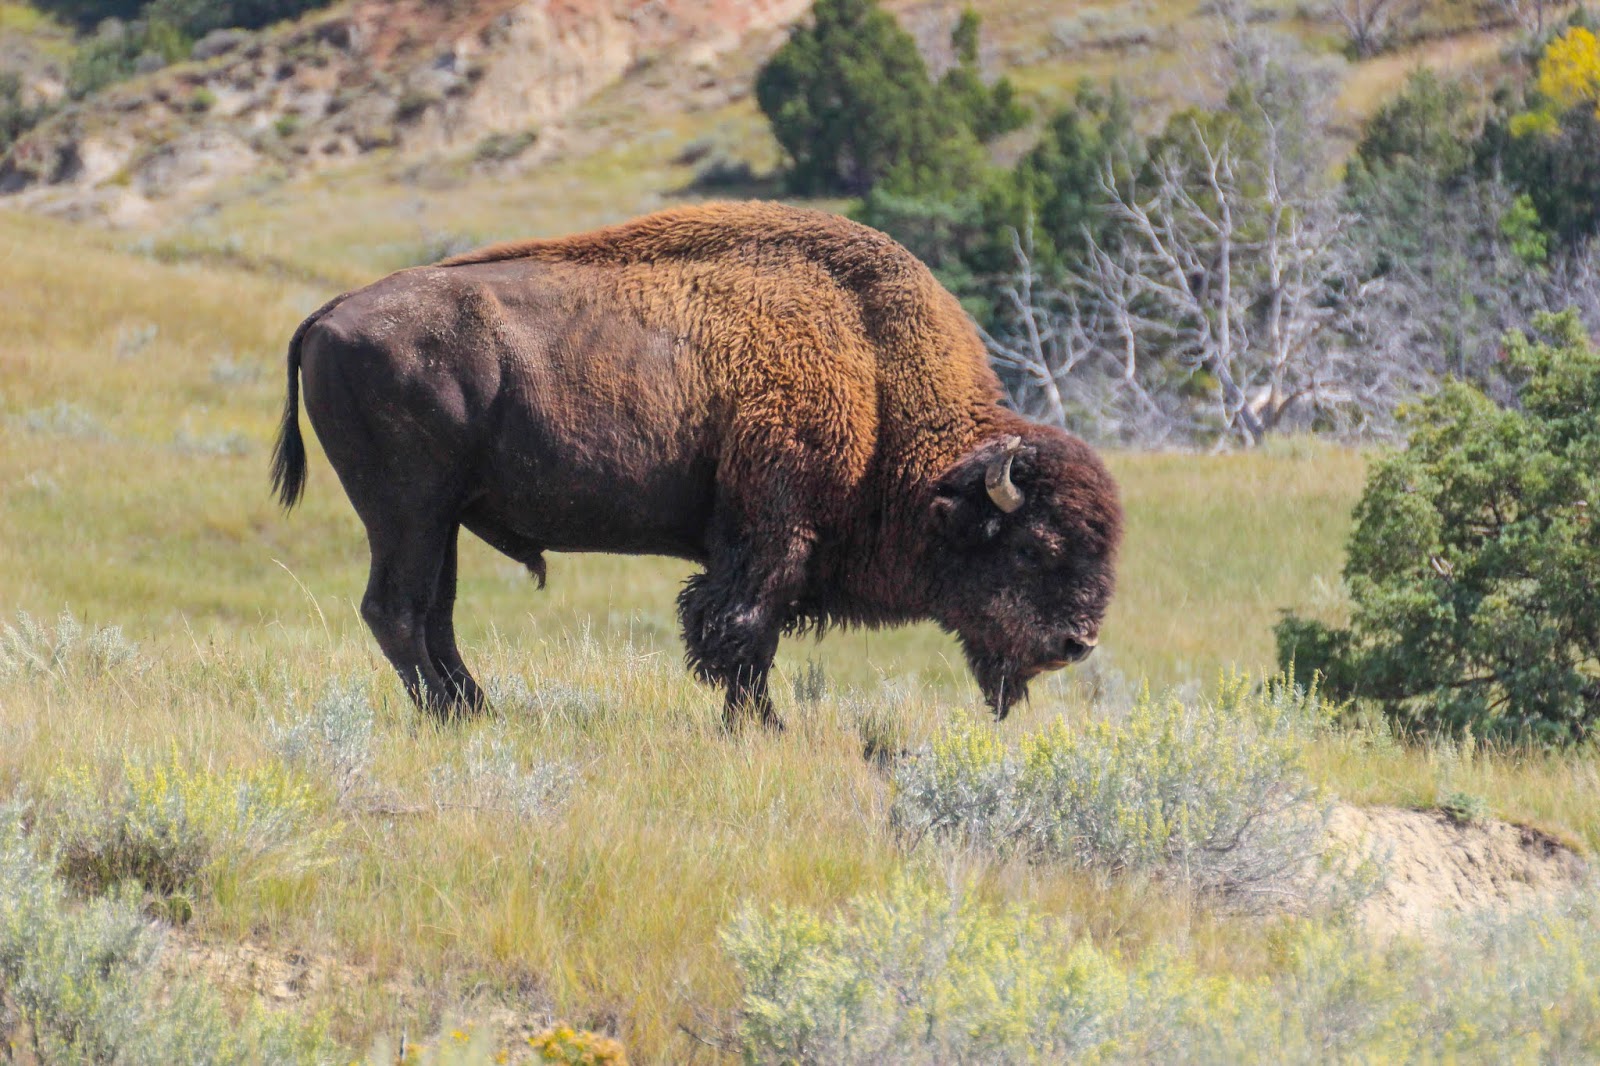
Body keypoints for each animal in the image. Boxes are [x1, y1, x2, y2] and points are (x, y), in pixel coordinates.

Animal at [271, 202, 1121, 726]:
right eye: (1036, 547)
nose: (1077, 643)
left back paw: (479, 710)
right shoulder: (771, 537)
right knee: (397, 610)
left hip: (438, 519)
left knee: (432, 615)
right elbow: (741, 636)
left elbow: (744, 639)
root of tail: (328, 315)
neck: (875, 373)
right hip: (405, 511)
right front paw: (765, 728)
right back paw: (457, 715)